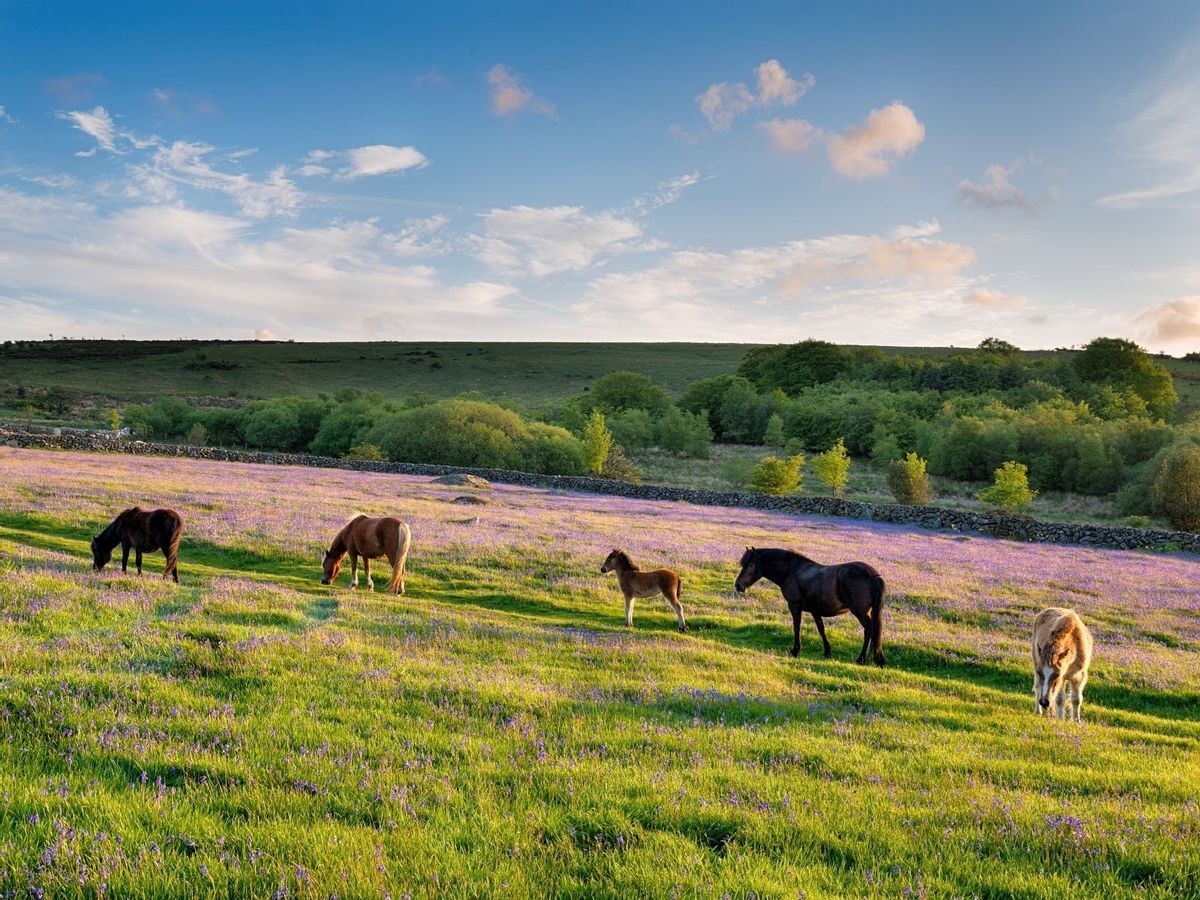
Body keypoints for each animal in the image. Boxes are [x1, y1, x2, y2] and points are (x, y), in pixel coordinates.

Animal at [724, 547, 888, 667]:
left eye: (751, 565)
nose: (738, 585)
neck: (792, 571)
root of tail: (873, 575)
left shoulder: (795, 606)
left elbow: (796, 627)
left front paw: (795, 651)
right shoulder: (815, 611)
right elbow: (821, 629)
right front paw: (827, 652)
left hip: (860, 612)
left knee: (869, 630)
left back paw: (861, 659)